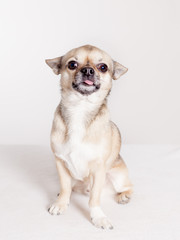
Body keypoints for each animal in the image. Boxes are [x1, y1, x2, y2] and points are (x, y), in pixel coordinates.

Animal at [45, 44, 132, 230]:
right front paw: (61, 204)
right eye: (72, 64)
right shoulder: (60, 163)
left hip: (118, 176)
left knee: (127, 186)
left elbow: (94, 199)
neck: (80, 108)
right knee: (71, 188)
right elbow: (65, 187)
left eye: (103, 67)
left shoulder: (98, 169)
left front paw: (98, 217)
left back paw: (124, 196)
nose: (87, 70)